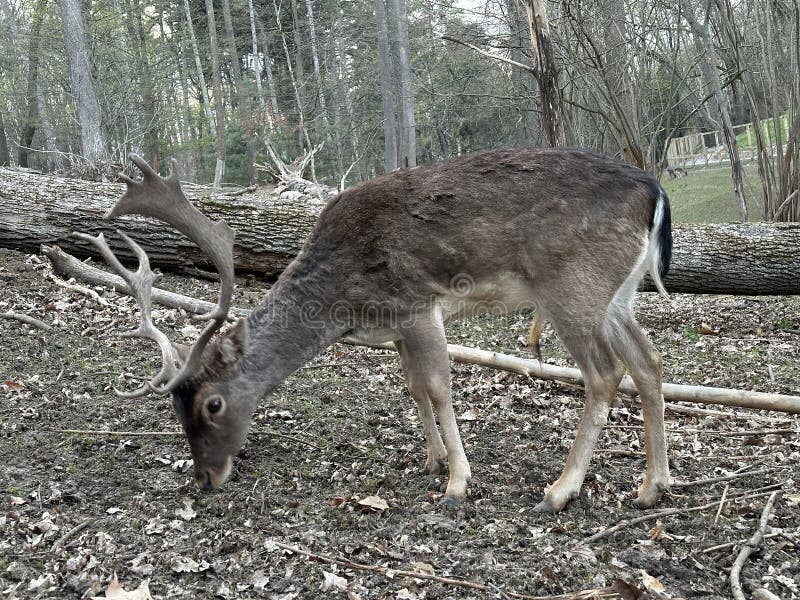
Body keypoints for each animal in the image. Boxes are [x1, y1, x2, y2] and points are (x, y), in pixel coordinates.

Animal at [78, 149, 672, 510]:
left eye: (213, 404)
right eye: (174, 408)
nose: (205, 477)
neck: (343, 304)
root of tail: (653, 191)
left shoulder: (416, 304)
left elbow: (439, 388)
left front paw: (457, 482)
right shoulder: (398, 329)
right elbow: (415, 388)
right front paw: (432, 460)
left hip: (571, 285)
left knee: (605, 372)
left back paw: (560, 489)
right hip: (617, 295)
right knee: (649, 360)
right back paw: (652, 487)